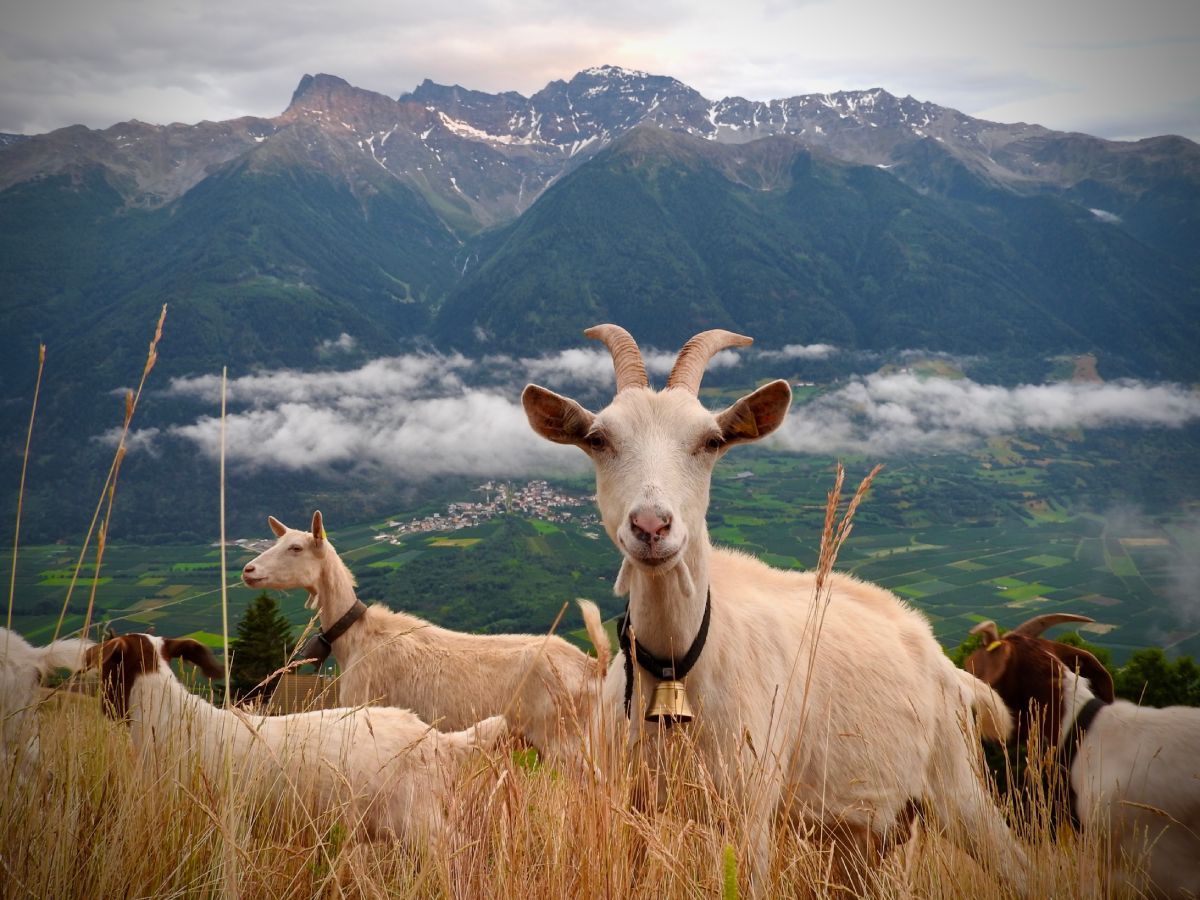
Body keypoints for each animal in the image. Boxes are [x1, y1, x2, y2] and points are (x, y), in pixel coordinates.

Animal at [238, 513, 609, 768]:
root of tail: (594, 665)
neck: (357, 636)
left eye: (296, 547)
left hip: (565, 739)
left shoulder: (364, 706)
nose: (248, 571)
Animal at [520, 328, 1027, 892]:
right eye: (598, 439)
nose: (652, 527)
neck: (678, 664)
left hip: (958, 784)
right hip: (863, 837)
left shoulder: (752, 811)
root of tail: (949, 670)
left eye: (711, 441)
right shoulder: (625, 804)